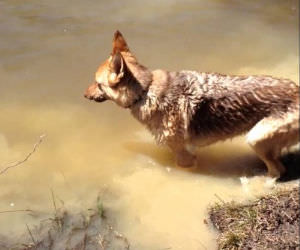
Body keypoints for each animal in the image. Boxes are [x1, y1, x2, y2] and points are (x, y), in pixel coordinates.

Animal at [83, 30, 298, 178]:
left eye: (98, 84)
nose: (84, 95)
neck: (145, 91)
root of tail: (297, 91)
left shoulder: (183, 154)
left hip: (255, 138)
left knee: (278, 170)